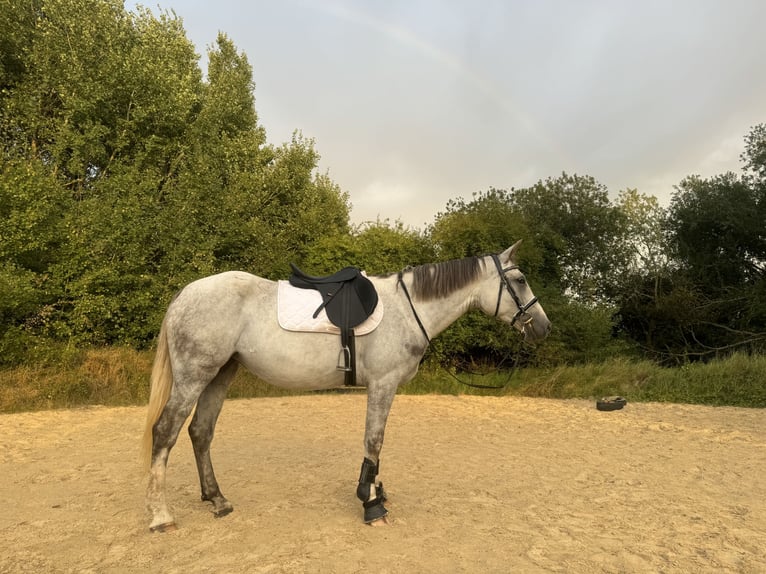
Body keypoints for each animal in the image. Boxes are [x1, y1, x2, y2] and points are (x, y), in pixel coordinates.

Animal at [142, 241, 552, 532]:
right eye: (519, 280)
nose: (544, 327)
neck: (409, 309)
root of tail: (185, 294)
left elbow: (376, 444)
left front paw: (375, 491)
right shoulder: (383, 384)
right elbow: (374, 440)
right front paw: (371, 503)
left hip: (220, 374)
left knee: (200, 432)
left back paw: (217, 499)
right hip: (195, 375)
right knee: (165, 432)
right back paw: (162, 516)